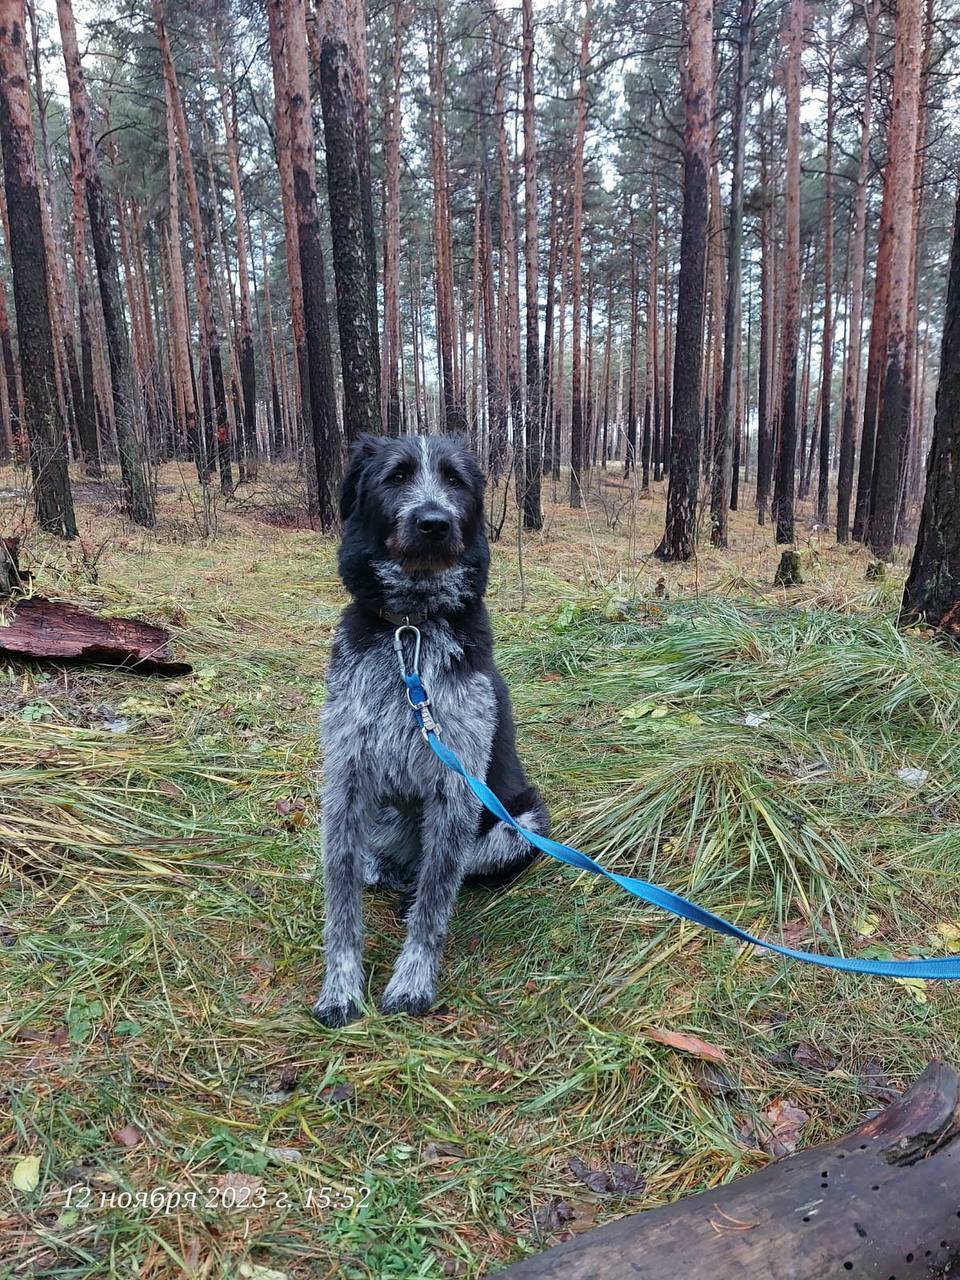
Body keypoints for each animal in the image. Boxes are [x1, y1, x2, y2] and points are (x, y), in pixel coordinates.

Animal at [313, 435, 547, 1024]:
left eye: (456, 480)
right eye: (396, 476)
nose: (434, 523)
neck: (411, 628)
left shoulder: (455, 788)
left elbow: (436, 901)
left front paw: (412, 981)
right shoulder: (346, 781)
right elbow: (341, 903)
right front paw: (340, 987)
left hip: (521, 821)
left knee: (450, 872)